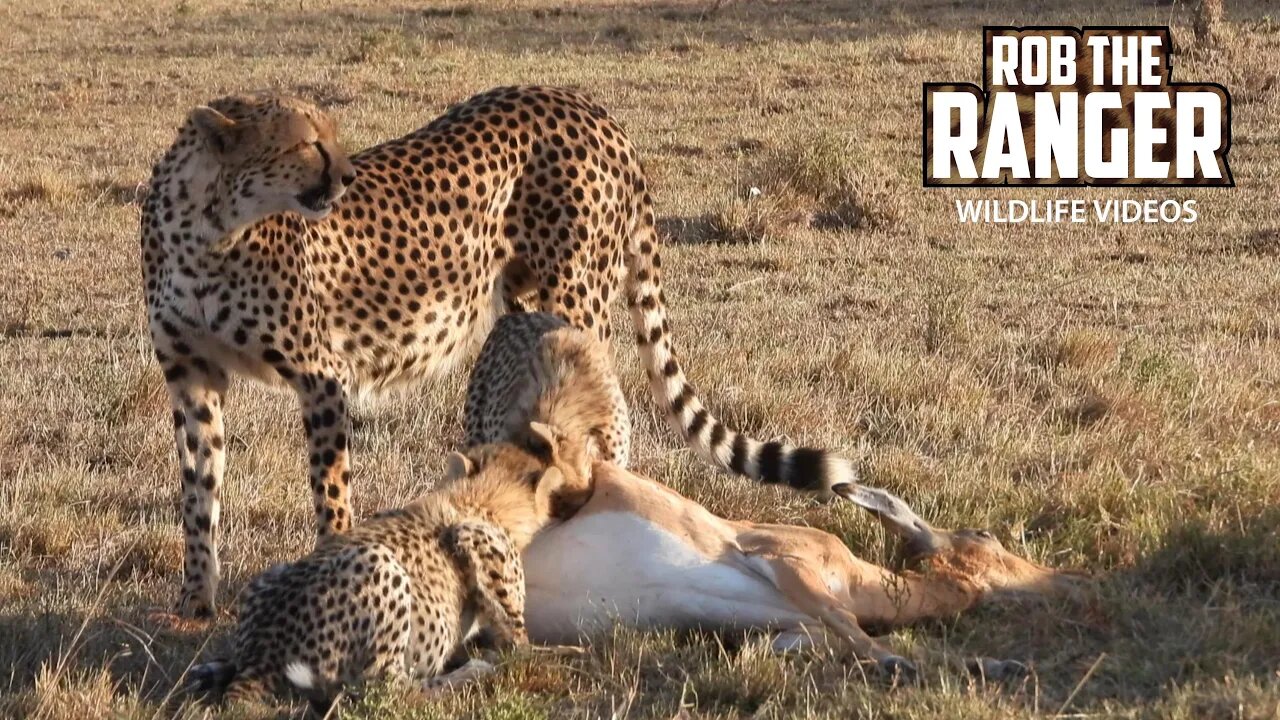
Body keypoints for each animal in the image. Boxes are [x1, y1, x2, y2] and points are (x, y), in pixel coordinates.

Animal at [142, 82, 849, 609]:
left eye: (334, 139)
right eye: (309, 143)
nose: (344, 177)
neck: (209, 229)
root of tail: (587, 105)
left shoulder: (323, 376)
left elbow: (330, 490)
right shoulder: (192, 377)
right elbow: (197, 494)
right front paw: (195, 603)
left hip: (576, 297)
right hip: (524, 295)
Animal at [192, 420, 591, 707]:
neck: (478, 499)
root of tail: (262, 658)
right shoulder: (475, 540)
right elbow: (522, 648)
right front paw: (569, 652)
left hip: (269, 577)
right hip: (383, 569)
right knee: (387, 688)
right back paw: (471, 672)